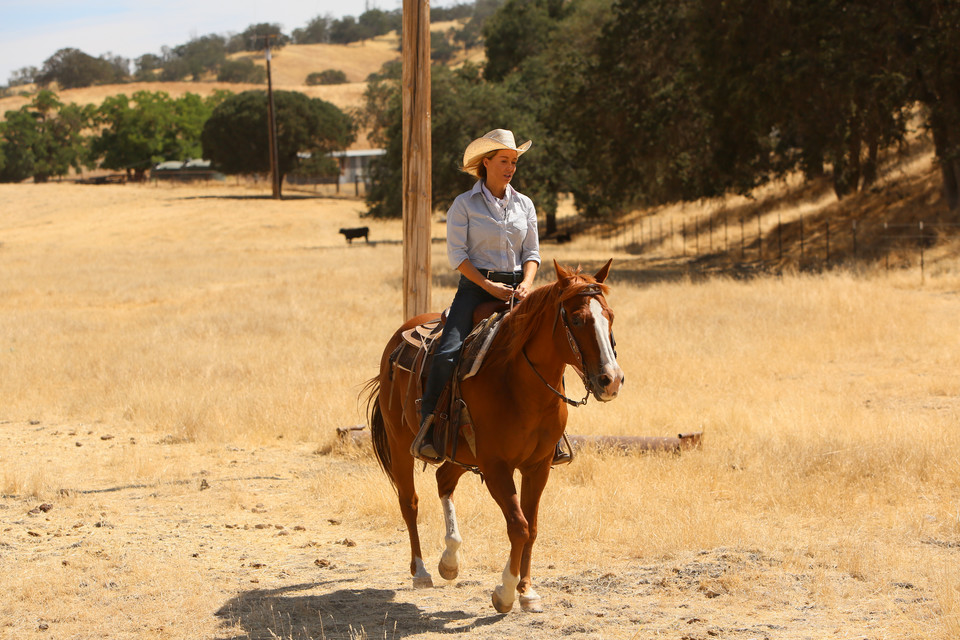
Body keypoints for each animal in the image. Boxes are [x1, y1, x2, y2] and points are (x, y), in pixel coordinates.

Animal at [362, 258, 624, 608]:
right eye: (578, 319)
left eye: (610, 316)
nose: (611, 379)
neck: (518, 383)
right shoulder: (497, 466)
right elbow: (518, 525)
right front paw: (506, 591)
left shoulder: (538, 466)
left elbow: (533, 526)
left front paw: (527, 590)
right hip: (400, 440)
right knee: (410, 501)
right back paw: (421, 572)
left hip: (459, 452)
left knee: (443, 481)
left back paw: (450, 560)